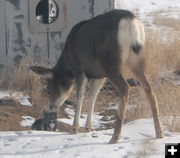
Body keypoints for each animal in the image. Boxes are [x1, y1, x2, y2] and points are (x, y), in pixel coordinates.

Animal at [30, 9, 164, 144]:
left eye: (52, 84)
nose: (52, 106)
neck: (67, 62)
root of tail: (130, 22)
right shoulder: (99, 75)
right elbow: (93, 96)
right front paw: (88, 128)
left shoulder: (79, 70)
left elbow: (80, 96)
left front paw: (74, 128)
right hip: (137, 61)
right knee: (149, 88)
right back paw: (159, 132)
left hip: (111, 64)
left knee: (125, 87)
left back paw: (115, 137)